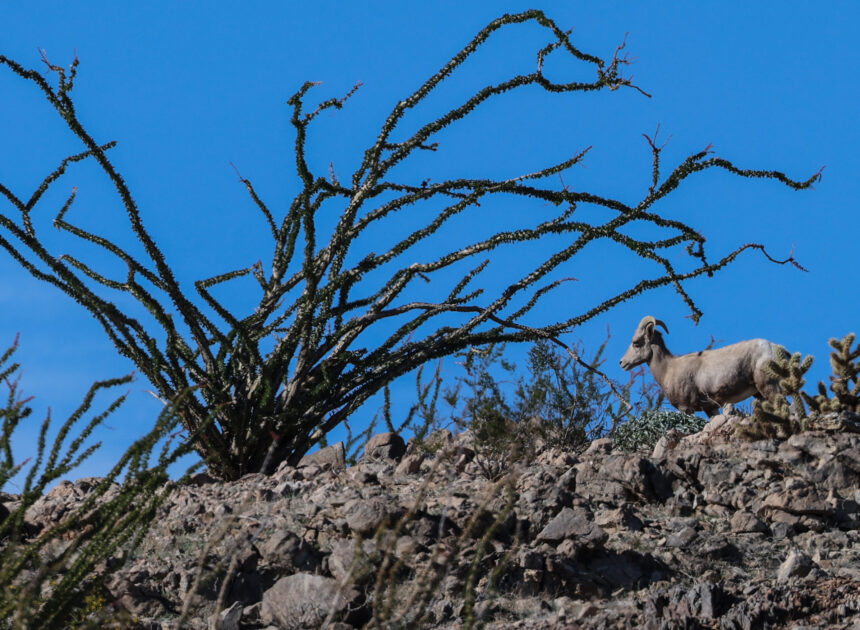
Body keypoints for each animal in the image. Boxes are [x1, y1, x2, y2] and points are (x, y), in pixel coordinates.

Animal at [619, 315, 783, 416]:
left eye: (636, 342)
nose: (622, 362)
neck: (667, 369)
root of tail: (775, 348)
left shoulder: (686, 409)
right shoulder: (711, 408)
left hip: (769, 388)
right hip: (760, 394)